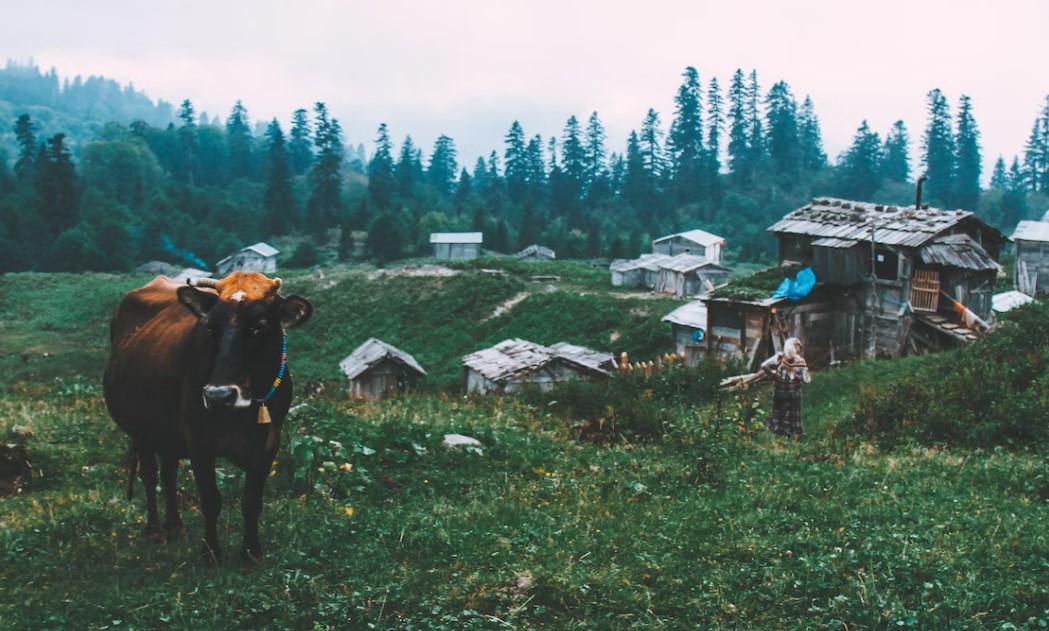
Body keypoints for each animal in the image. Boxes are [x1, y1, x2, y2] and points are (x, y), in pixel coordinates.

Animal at [104, 270, 312, 561]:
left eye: (259, 326)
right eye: (211, 328)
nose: (219, 396)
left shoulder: (269, 442)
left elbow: (252, 501)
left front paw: (251, 552)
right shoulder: (198, 440)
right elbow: (211, 500)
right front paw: (210, 553)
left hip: (168, 435)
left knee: (168, 475)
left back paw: (175, 526)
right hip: (142, 430)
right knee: (150, 476)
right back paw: (156, 530)